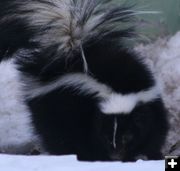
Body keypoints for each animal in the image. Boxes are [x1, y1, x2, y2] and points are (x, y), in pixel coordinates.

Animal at [0, 0, 169, 161]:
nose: (115, 155)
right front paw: (102, 156)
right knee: (56, 134)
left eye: (127, 136)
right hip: (51, 107)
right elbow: (90, 137)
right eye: (106, 136)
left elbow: (154, 131)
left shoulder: (149, 102)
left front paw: (150, 154)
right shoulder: (86, 112)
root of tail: (69, 50)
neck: (117, 89)